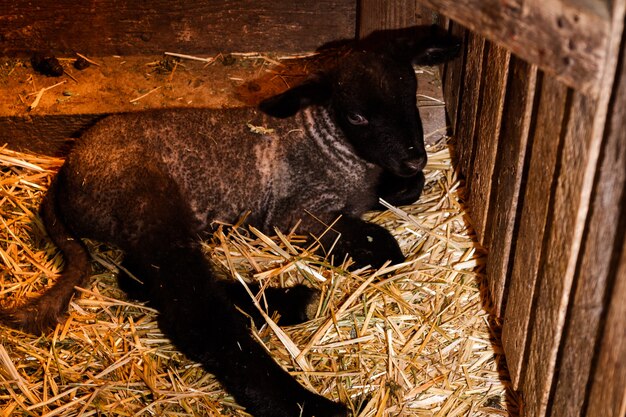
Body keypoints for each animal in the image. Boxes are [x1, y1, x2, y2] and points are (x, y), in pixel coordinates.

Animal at [0, 26, 458, 416]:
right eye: (358, 117)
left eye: (412, 93)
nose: (414, 158)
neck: (333, 145)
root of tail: (64, 175)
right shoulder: (299, 214)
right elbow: (384, 247)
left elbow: (404, 191)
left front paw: (401, 184)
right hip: (148, 204)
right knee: (195, 316)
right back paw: (307, 400)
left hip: (146, 225)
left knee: (138, 279)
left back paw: (284, 302)